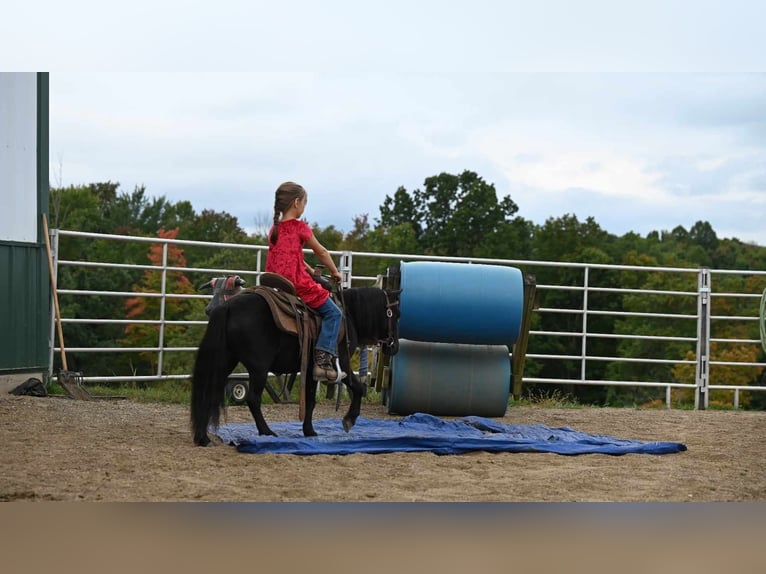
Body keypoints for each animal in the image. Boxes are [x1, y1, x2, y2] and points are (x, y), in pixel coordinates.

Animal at [190, 286, 402, 446]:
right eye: (396, 314)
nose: (395, 347)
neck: (349, 315)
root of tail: (227, 307)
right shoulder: (342, 363)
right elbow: (358, 388)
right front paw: (349, 420)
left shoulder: (311, 370)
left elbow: (311, 400)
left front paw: (309, 430)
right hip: (259, 368)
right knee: (253, 399)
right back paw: (267, 431)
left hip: (226, 360)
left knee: (209, 392)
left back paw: (203, 437)